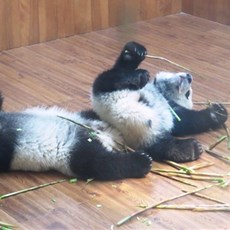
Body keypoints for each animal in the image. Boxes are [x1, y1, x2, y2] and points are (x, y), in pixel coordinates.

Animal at [92, 42, 228, 163]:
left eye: (187, 94)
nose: (189, 77)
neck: (161, 91)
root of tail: (116, 127)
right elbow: (121, 67)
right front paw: (134, 51)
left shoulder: (171, 110)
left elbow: (186, 121)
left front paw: (218, 112)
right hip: (104, 90)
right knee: (115, 77)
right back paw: (138, 69)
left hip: (147, 135)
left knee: (161, 146)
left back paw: (189, 149)